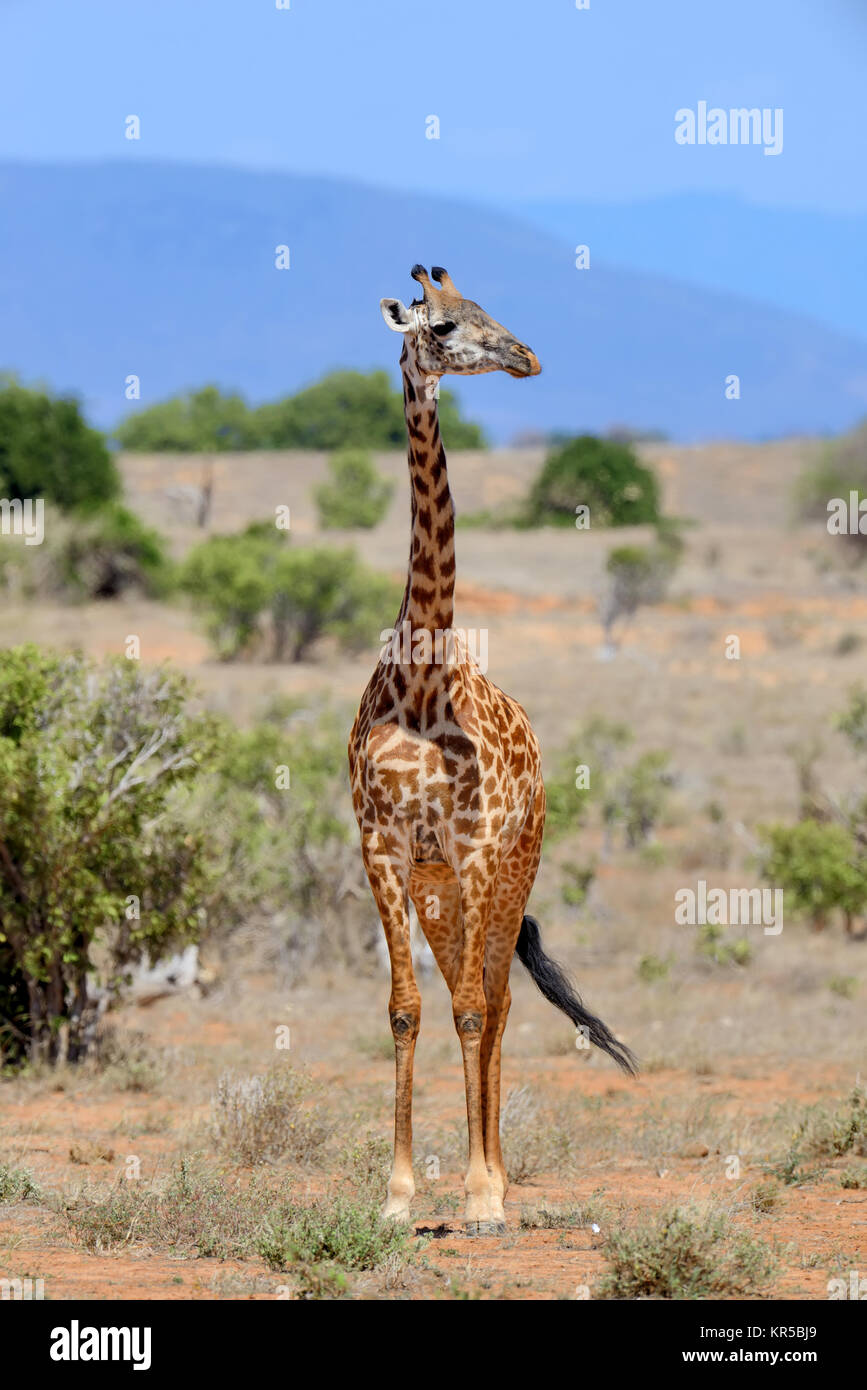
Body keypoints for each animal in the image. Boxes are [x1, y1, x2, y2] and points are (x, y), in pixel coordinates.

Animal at [347, 265, 636, 1234]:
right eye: (440, 325)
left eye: (485, 309)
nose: (526, 356)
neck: (421, 677)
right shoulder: (383, 846)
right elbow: (405, 1009)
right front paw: (397, 1196)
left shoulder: (472, 848)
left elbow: (475, 1009)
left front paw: (476, 1196)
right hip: (442, 892)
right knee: (464, 993)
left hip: (513, 868)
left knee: (499, 999)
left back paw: (499, 1180)